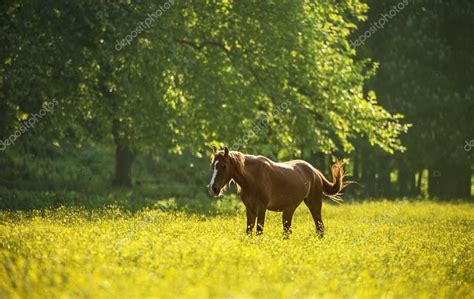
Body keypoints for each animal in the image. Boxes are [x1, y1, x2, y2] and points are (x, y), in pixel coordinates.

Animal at [206, 146, 346, 238]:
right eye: (212, 165)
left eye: (223, 166)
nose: (213, 188)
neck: (254, 177)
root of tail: (314, 171)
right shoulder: (250, 209)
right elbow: (249, 231)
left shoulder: (261, 208)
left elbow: (259, 231)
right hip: (288, 210)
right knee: (288, 231)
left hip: (314, 204)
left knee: (319, 227)